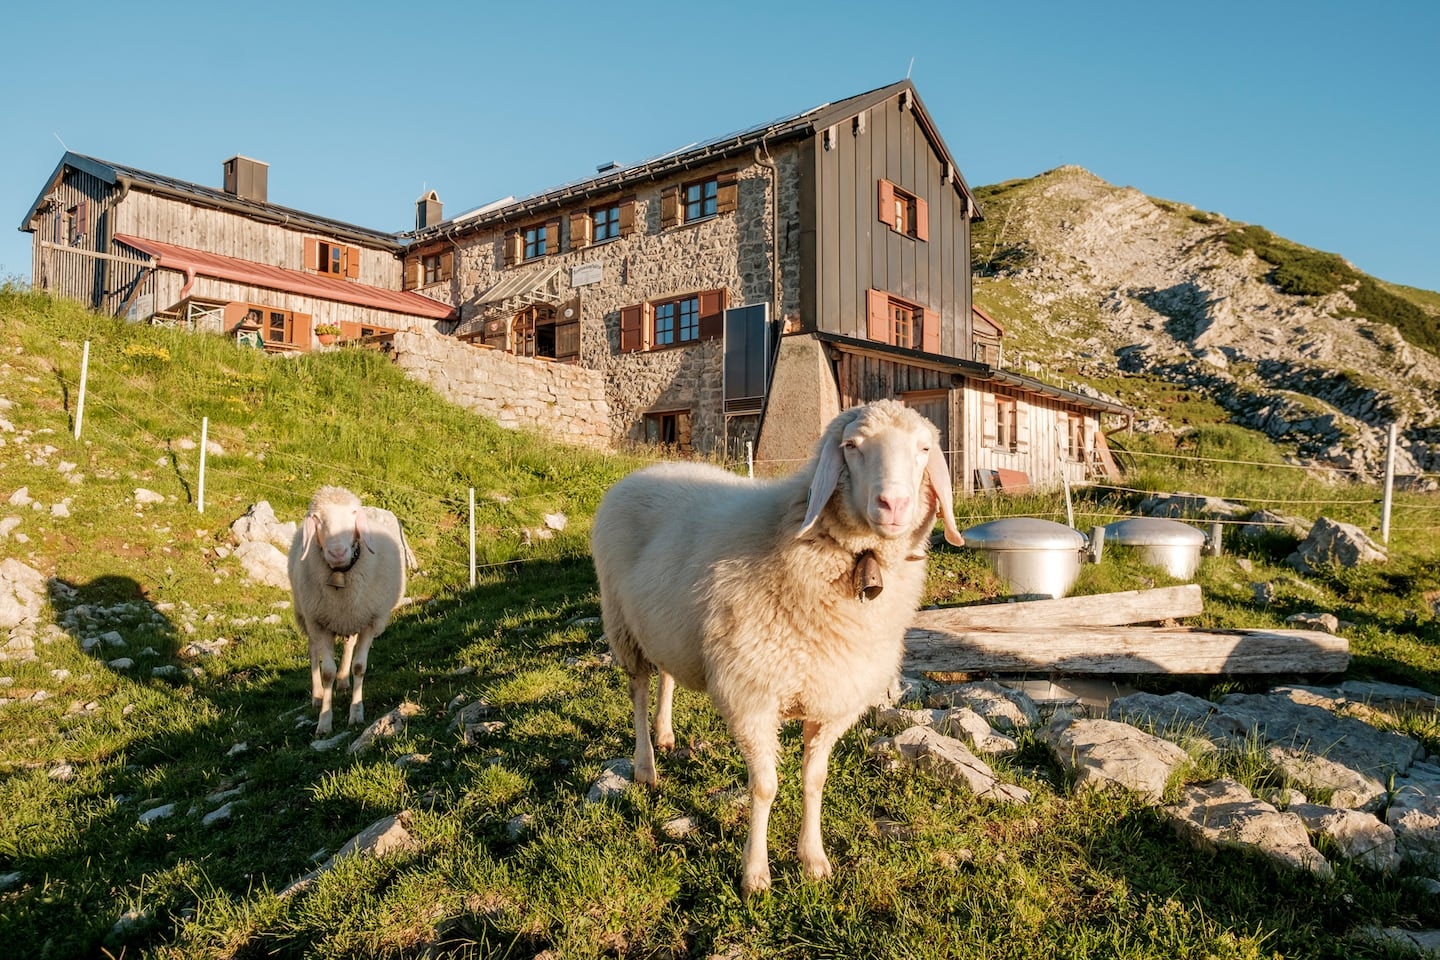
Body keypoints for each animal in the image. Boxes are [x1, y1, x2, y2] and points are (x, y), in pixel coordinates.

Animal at [288, 483, 408, 742]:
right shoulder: (319, 623)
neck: (341, 572)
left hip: (352, 618)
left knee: (349, 645)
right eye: (317, 518)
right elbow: (326, 673)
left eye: (353, 514)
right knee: (313, 653)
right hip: (307, 616)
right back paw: (317, 695)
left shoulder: (370, 621)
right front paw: (324, 722)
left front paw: (356, 713)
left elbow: (359, 667)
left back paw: (344, 682)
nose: (337, 553)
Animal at [590, 397, 961, 892]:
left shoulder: (833, 700)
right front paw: (755, 873)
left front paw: (813, 859)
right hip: (622, 624)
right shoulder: (752, 695)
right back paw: (646, 766)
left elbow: (815, 780)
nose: (894, 504)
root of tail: (646, 470)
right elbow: (764, 787)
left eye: (923, 449)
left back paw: (665, 735)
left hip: (665, 625)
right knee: (638, 690)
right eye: (851, 446)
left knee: (666, 676)